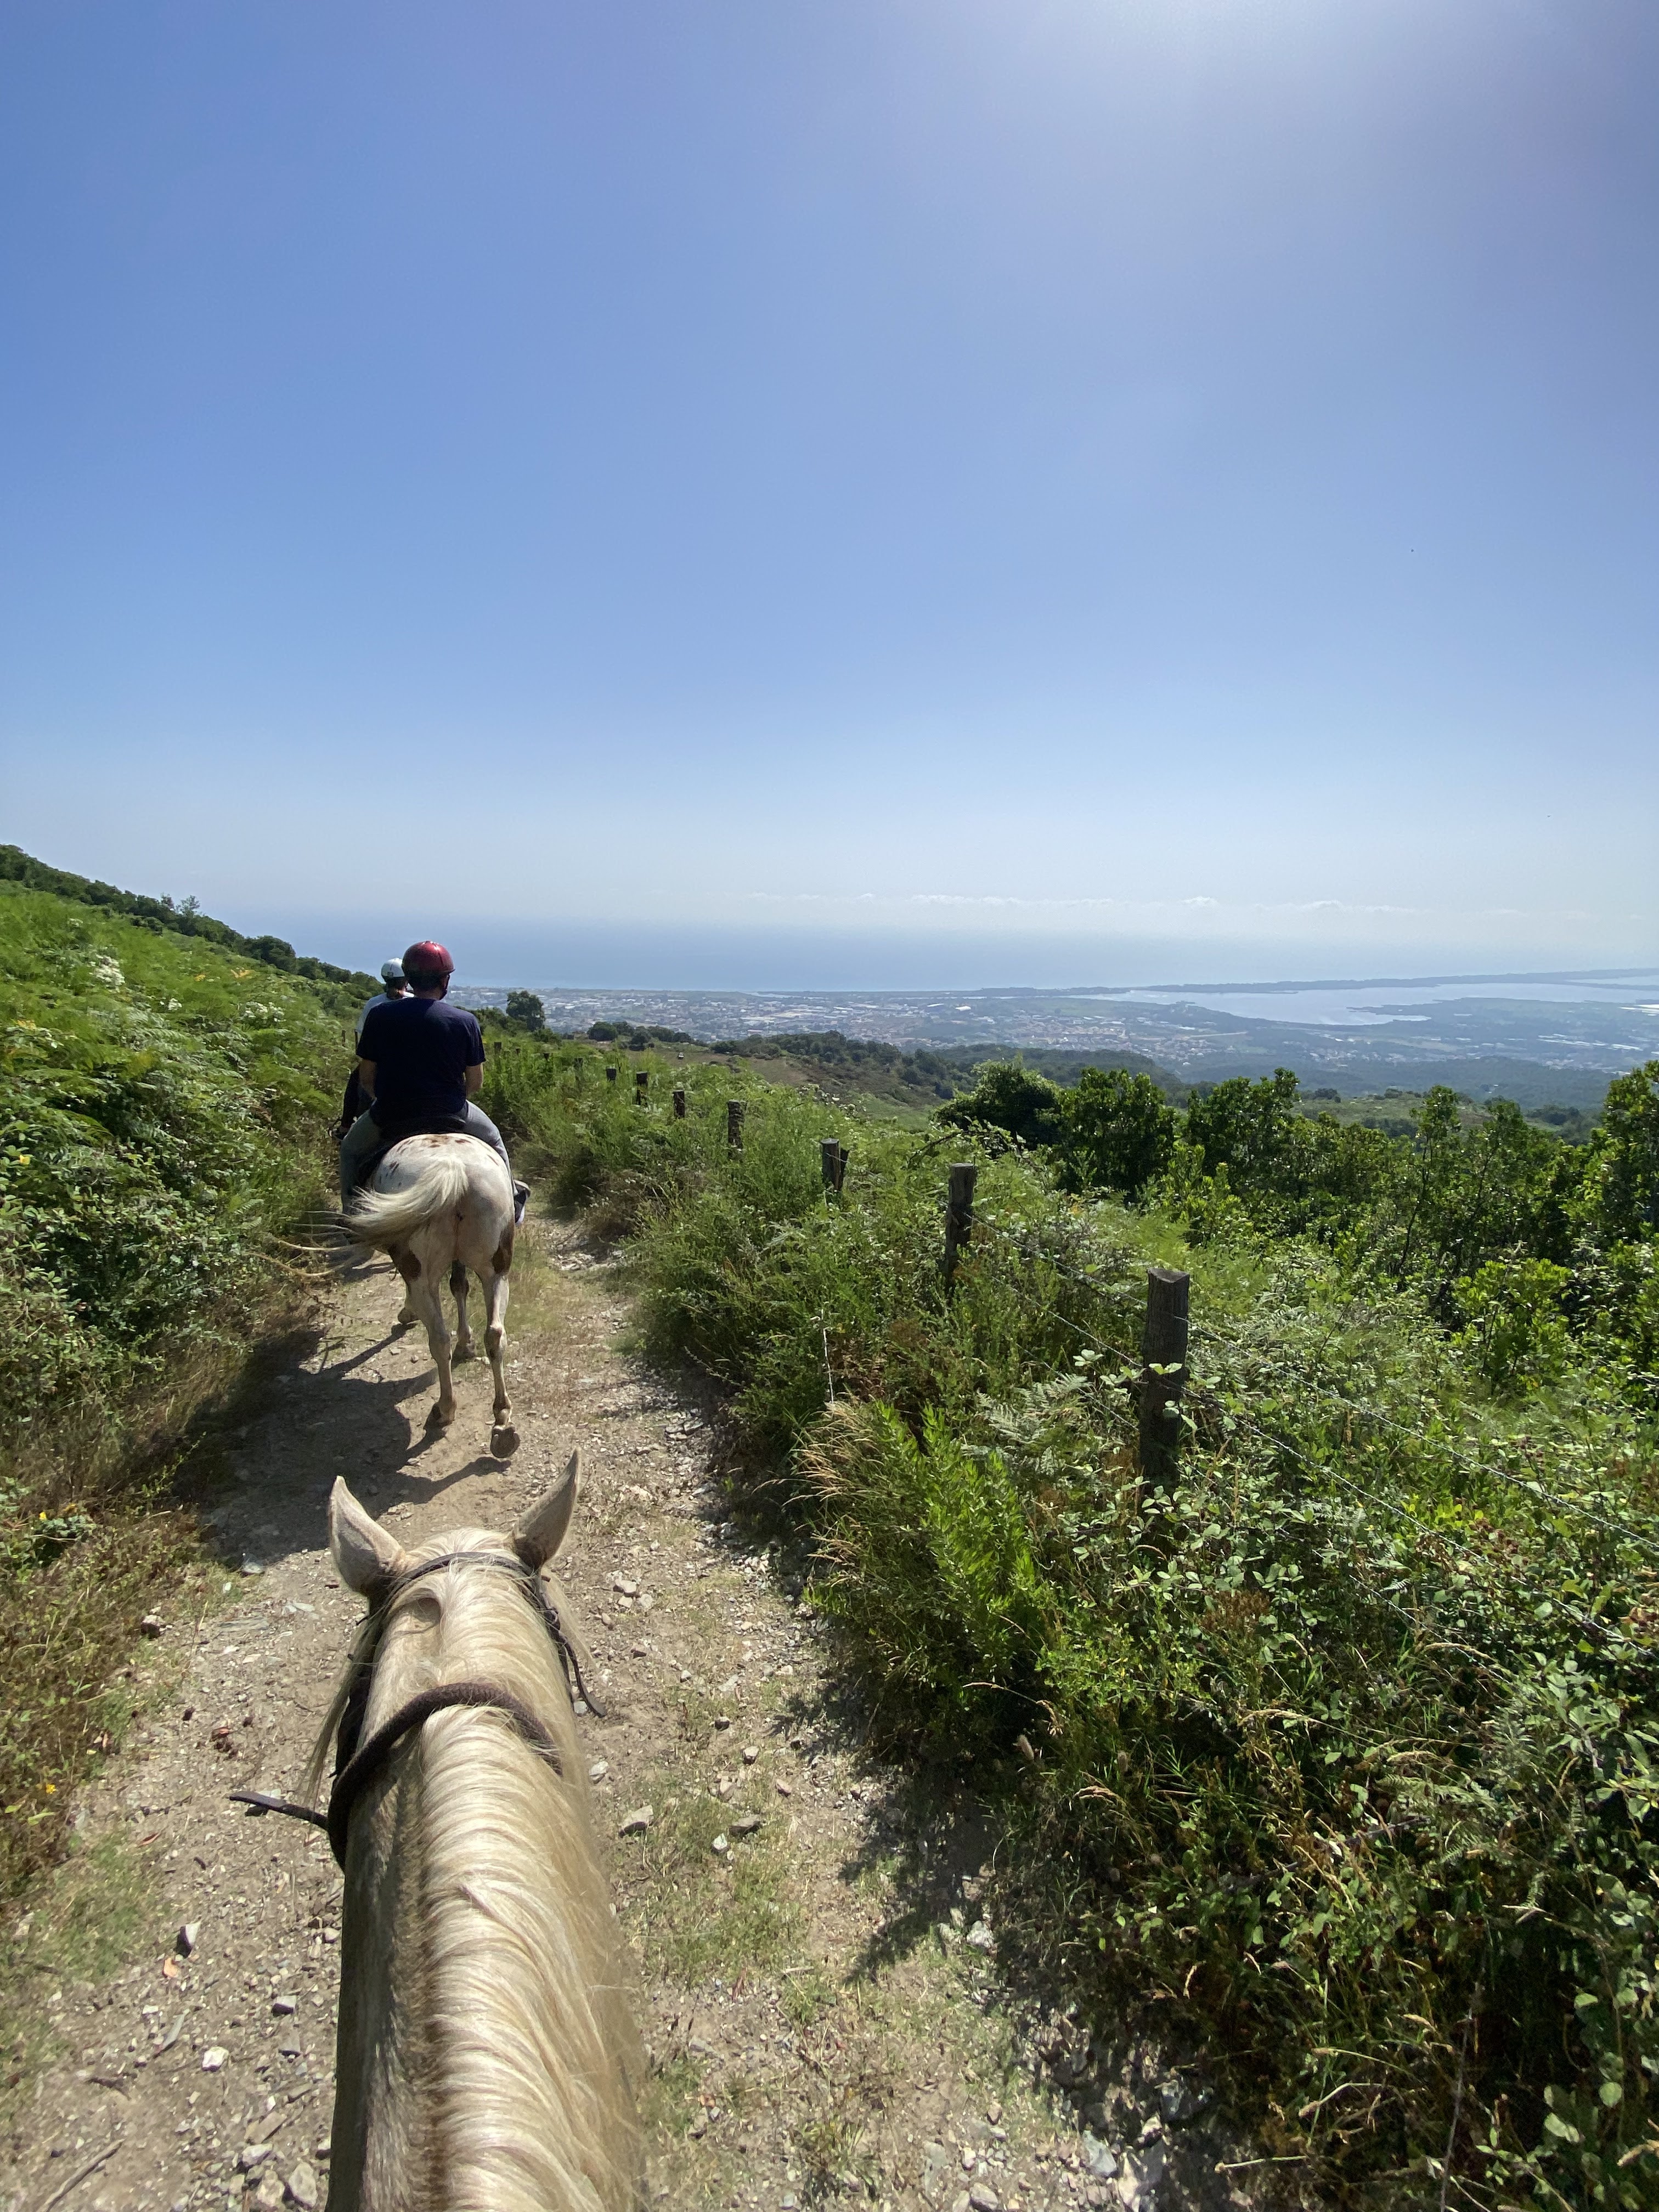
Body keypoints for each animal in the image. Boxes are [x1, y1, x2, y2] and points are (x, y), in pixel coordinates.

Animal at [345, 1133, 520, 1455]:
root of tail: (454, 1170)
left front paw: (407, 1313)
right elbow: (460, 1287)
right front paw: (466, 1344)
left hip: (420, 1275)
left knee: (439, 1338)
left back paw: (445, 1409)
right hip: (496, 1273)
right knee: (495, 1335)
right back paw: (503, 1423)